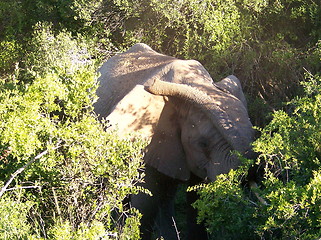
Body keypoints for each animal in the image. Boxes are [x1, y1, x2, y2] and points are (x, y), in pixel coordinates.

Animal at [93, 43, 255, 240]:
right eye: (203, 144)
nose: (152, 84)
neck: (200, 86)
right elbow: (146, 202)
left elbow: (196, 203)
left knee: (166, 196)